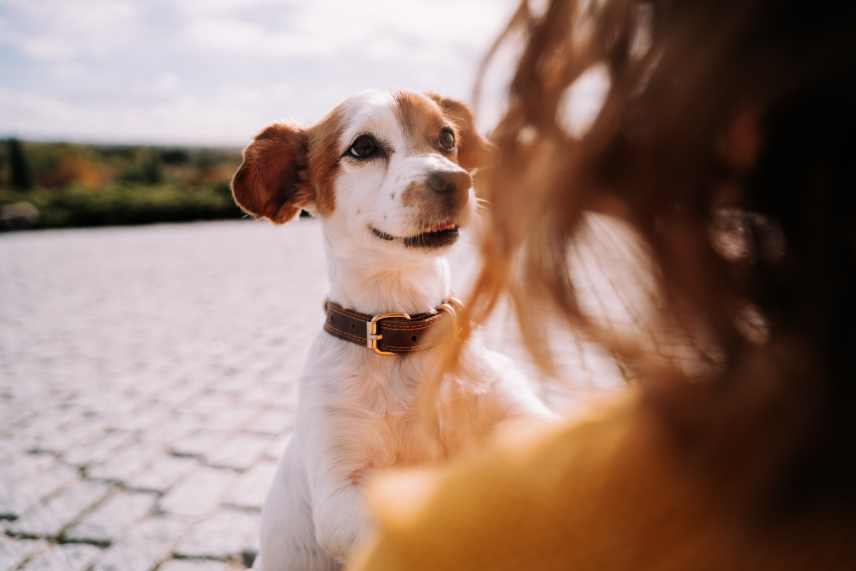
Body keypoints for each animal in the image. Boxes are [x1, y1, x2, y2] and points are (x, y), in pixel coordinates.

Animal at [232, 91, 556, 568]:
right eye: (363, 147)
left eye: (447, 138)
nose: (455, 182)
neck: (406, 332)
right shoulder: (339, 495)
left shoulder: (524, 417)